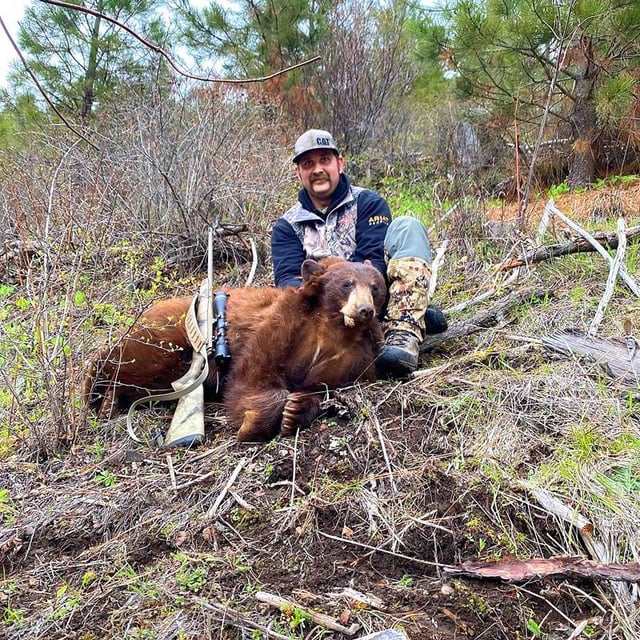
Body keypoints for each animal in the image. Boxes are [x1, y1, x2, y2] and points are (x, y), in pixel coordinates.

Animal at [82, 257, 387, 441]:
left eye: (375, 286)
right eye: (347, 284)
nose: (364, 310)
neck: (332, 329)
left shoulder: (349, 360)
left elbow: (319, 386)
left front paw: (296, 410)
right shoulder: (283, 322)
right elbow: (251, 374)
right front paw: (254, 423)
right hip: (166, 337)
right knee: (128, 359)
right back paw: (100, 395)